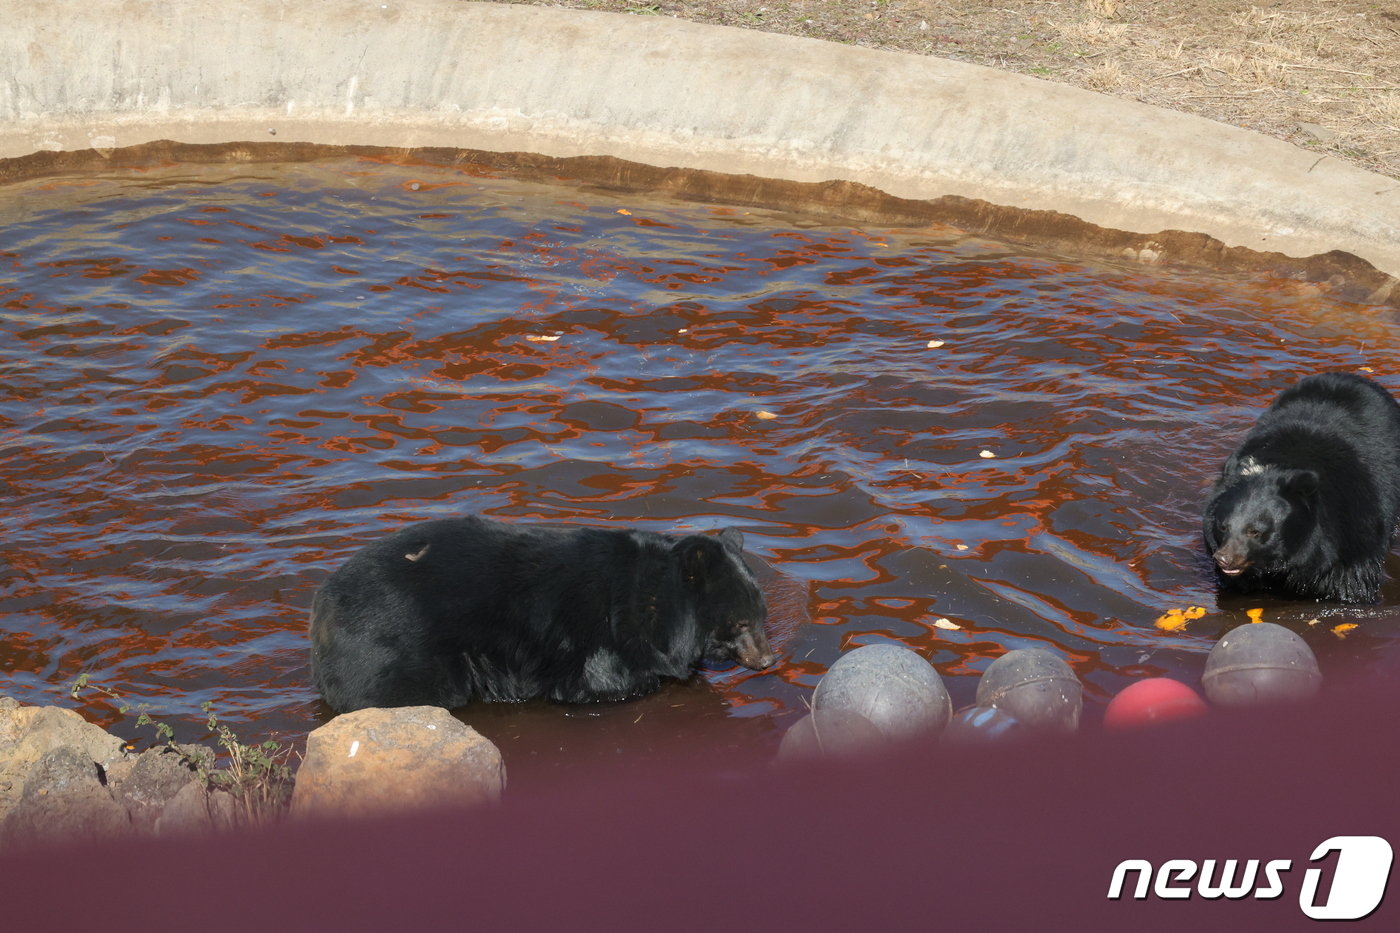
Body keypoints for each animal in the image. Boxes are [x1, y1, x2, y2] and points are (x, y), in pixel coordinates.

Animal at [309, 515, 778, 711]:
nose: (767, 659)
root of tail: (321, 609)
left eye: (762, 616)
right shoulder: (601, 639)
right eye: (739, 622)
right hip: (396, 652)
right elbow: (603, 683)